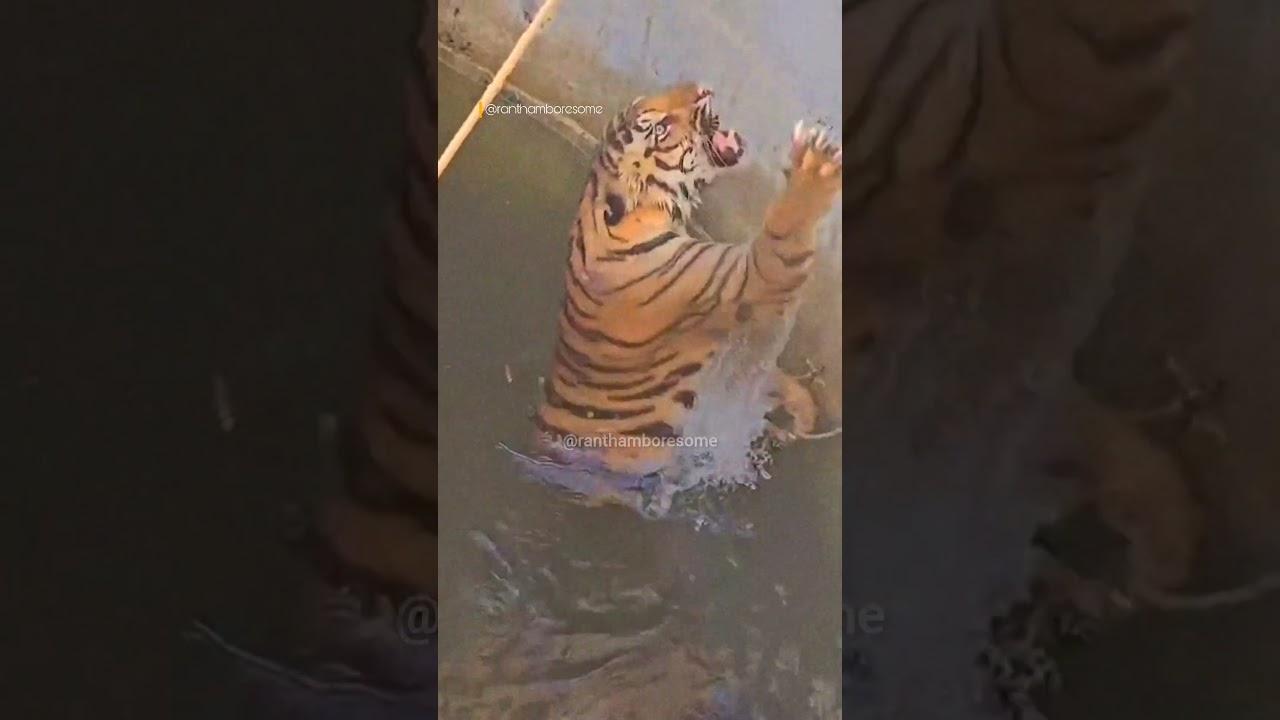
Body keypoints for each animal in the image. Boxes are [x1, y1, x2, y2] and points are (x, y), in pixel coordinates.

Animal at [531, 82, 843, 486]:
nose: (702, 89)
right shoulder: (746, 278)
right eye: (660, 127)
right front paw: (815, 165)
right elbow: (784, 236)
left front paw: (801, 411)